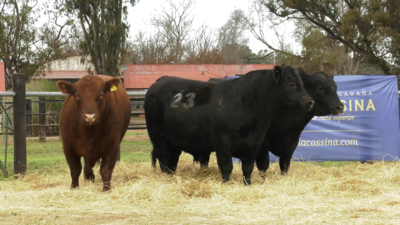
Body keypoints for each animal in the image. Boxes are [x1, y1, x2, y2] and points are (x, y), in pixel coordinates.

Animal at [145, 65, 314, 185]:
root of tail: (161, 80)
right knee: (164, 160)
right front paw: (225, 184)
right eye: (291, 83)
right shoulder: (223, 143)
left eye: (302, 83)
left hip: (173, 141)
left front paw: (248, 184)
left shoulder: (255, 144)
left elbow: (248, 169)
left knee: (171, 161)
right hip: (159, 137)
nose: (310, 101)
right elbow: (227, 167)